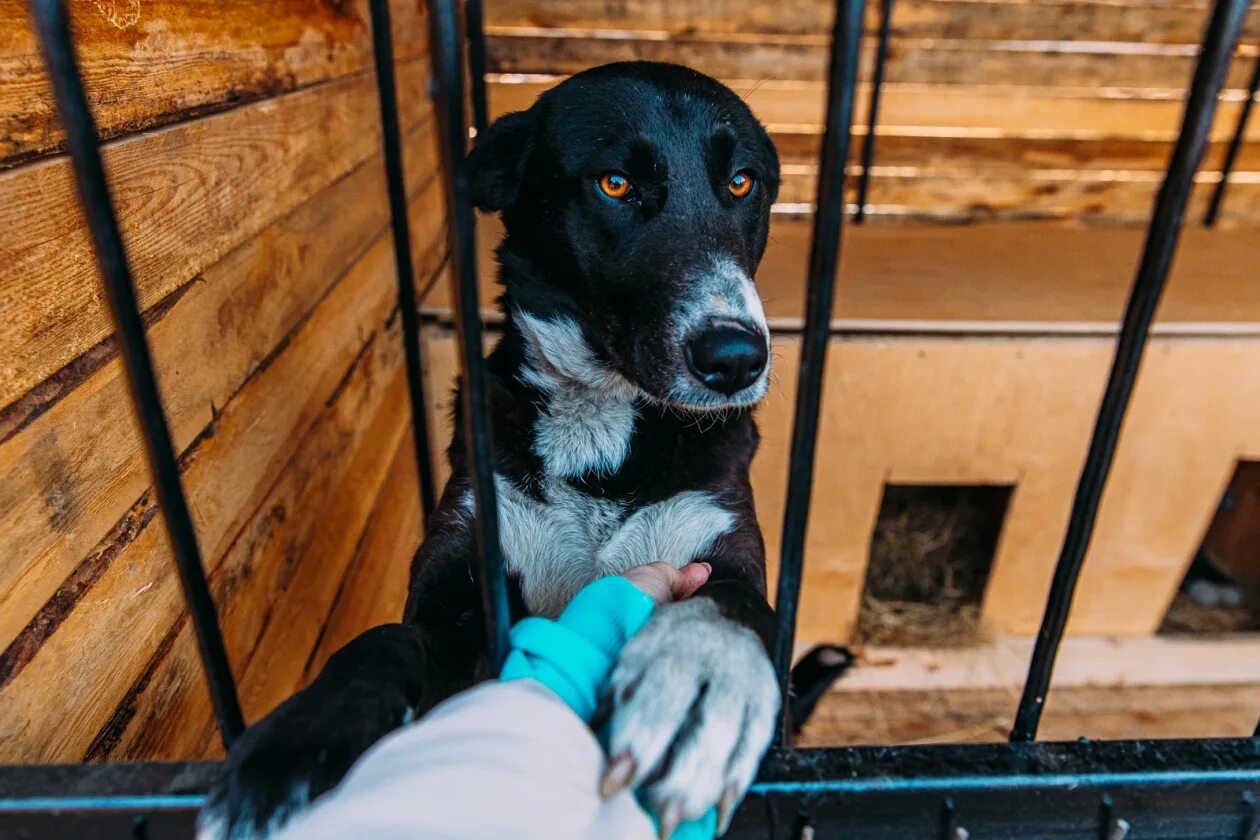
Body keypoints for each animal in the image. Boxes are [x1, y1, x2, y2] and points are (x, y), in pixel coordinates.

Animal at [201, 60, 781, 840]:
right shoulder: (456, 586)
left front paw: (702, 673)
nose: (736, 359)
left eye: (742, 182)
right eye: (615, 184)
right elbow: (383, 640)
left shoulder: (724, 549)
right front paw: (297, 741)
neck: (601, 432)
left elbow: (735, 607)